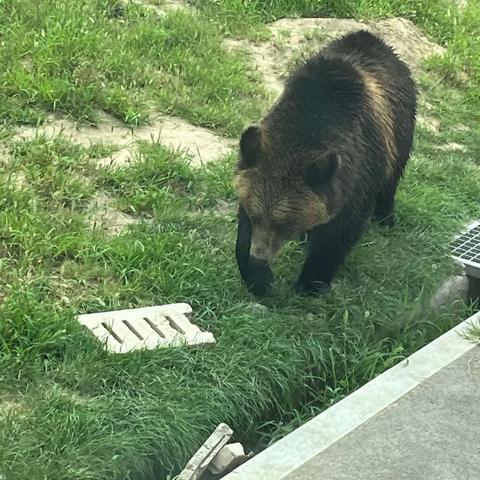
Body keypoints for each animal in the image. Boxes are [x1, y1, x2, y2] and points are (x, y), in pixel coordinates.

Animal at [235, 30, 416, 296]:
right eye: (256, 214)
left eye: (283, 223)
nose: (260, 257)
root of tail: (375, 40)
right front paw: (258, 278)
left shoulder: (357, 173)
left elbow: (339, 232)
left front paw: (311, 283)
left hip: (401, 130)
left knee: (391, 179)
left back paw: (386, 217)